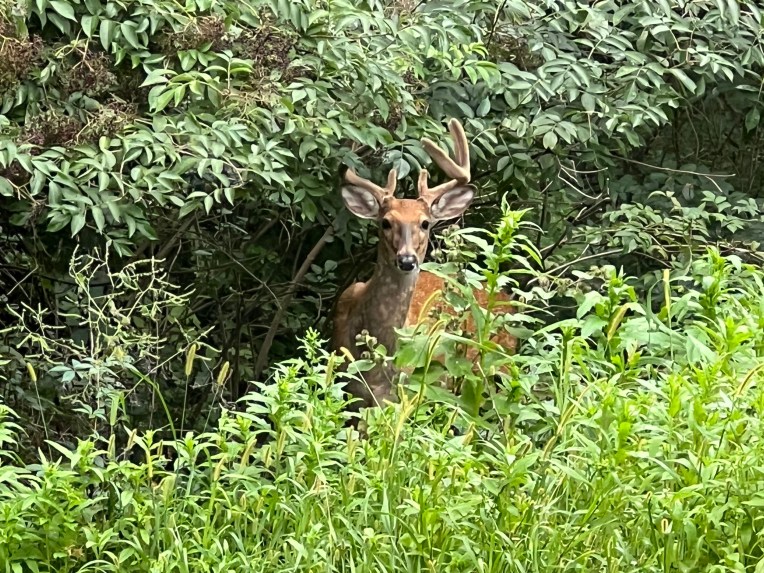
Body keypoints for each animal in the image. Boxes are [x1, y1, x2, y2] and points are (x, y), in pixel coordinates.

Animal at [332, 118, 516, 412]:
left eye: (425, 223)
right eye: (386, 222)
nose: (407, 260)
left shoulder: (403, 393)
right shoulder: (350, 389)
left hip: (496, 371)